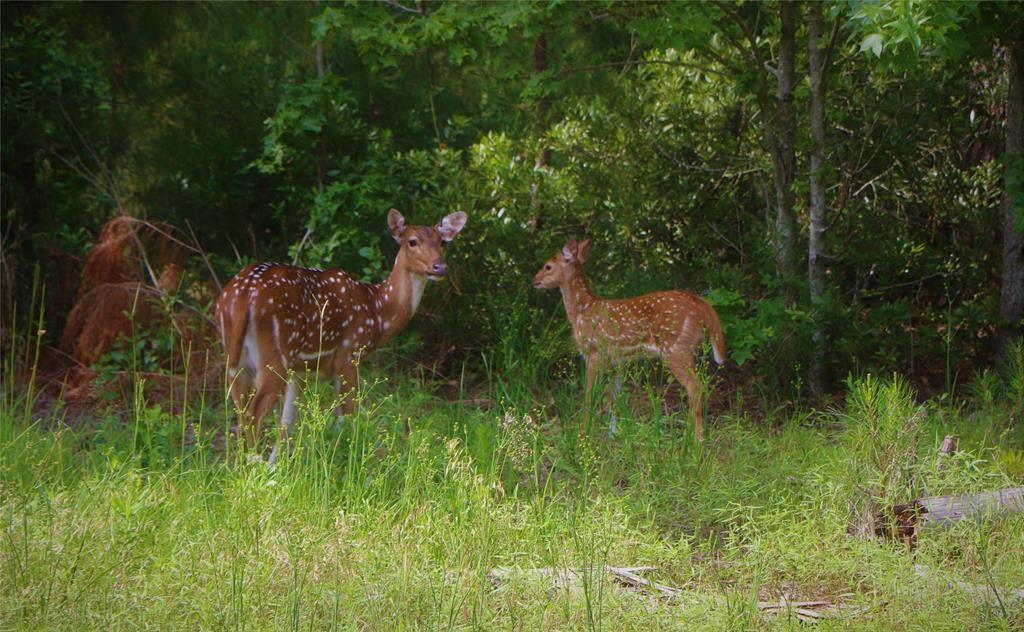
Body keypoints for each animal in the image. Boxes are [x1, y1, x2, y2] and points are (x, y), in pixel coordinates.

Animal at [222, 209, 468, 460]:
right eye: (412, 241)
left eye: (442, 242)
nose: (440, 267)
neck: (378, 311)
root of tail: (244, 295)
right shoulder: (350, 355)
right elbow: (347, 417)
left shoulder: (301, 372)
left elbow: (287, 424)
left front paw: (281, 467)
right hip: (277, 355)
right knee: (252, 415)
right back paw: (254, 463)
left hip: (236, 357)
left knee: (239, 413)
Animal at [532, 236, 724, 438]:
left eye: (548, 266)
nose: (534, 280)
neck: (581, 312)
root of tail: (703, 306)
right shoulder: (617, 363)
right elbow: (613, 398)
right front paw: (614, 434)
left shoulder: (594, 352)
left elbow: (590, 397)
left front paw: (583, 434)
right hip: (689, 350)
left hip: (676, 348)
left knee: (695, 386)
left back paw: (696, 439)